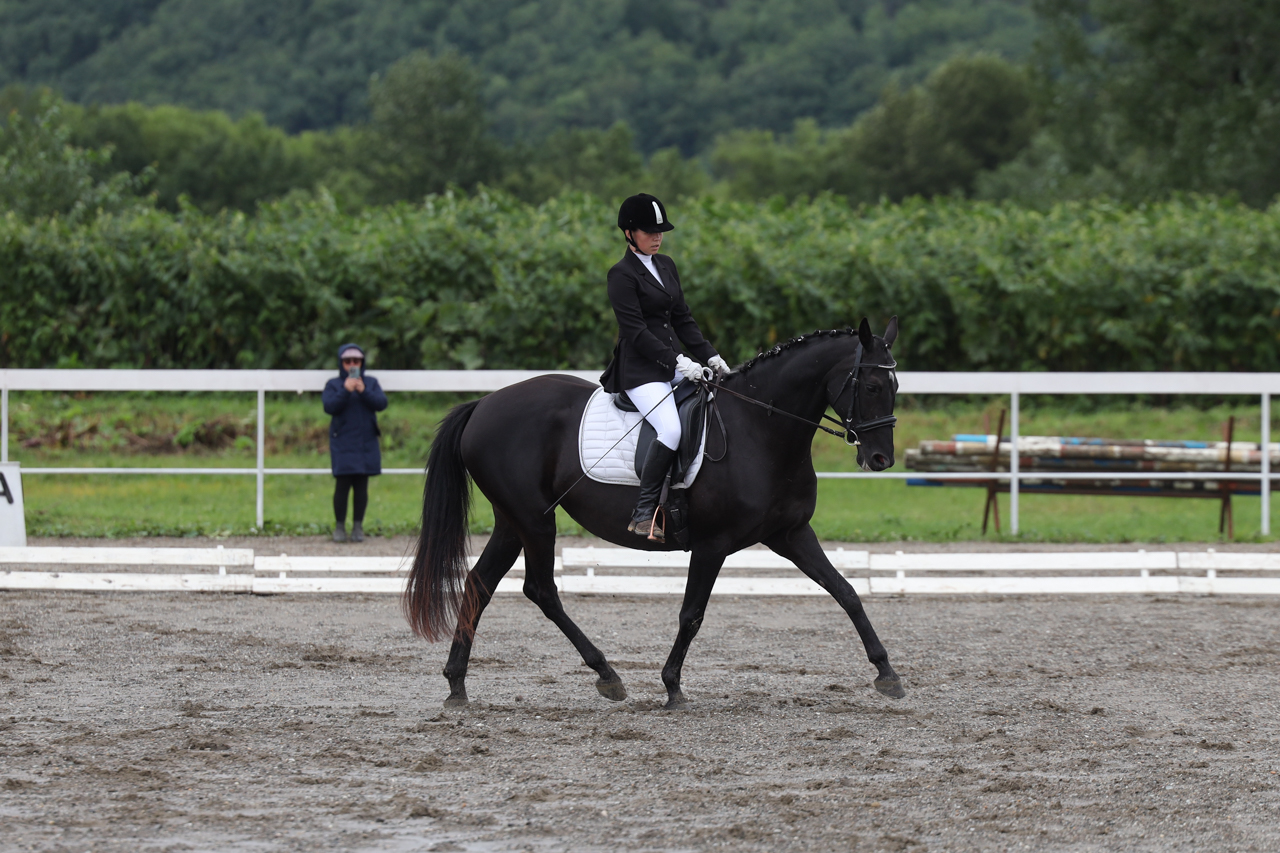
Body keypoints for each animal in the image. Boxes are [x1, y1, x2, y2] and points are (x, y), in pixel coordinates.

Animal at [404, 315, 906, 706]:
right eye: (872, 385)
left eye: (895, 386)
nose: (881, 459)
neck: (760, 430)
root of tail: (483, 404)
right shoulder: (712, 544)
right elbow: (692, 614)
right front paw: (672, 687)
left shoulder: (792, 534)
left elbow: (846, 592)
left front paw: (887, 673)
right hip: (535, 520)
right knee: (540, 590)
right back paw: (607, 676)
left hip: (513, 521)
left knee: (479, 583)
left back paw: (457, 686)